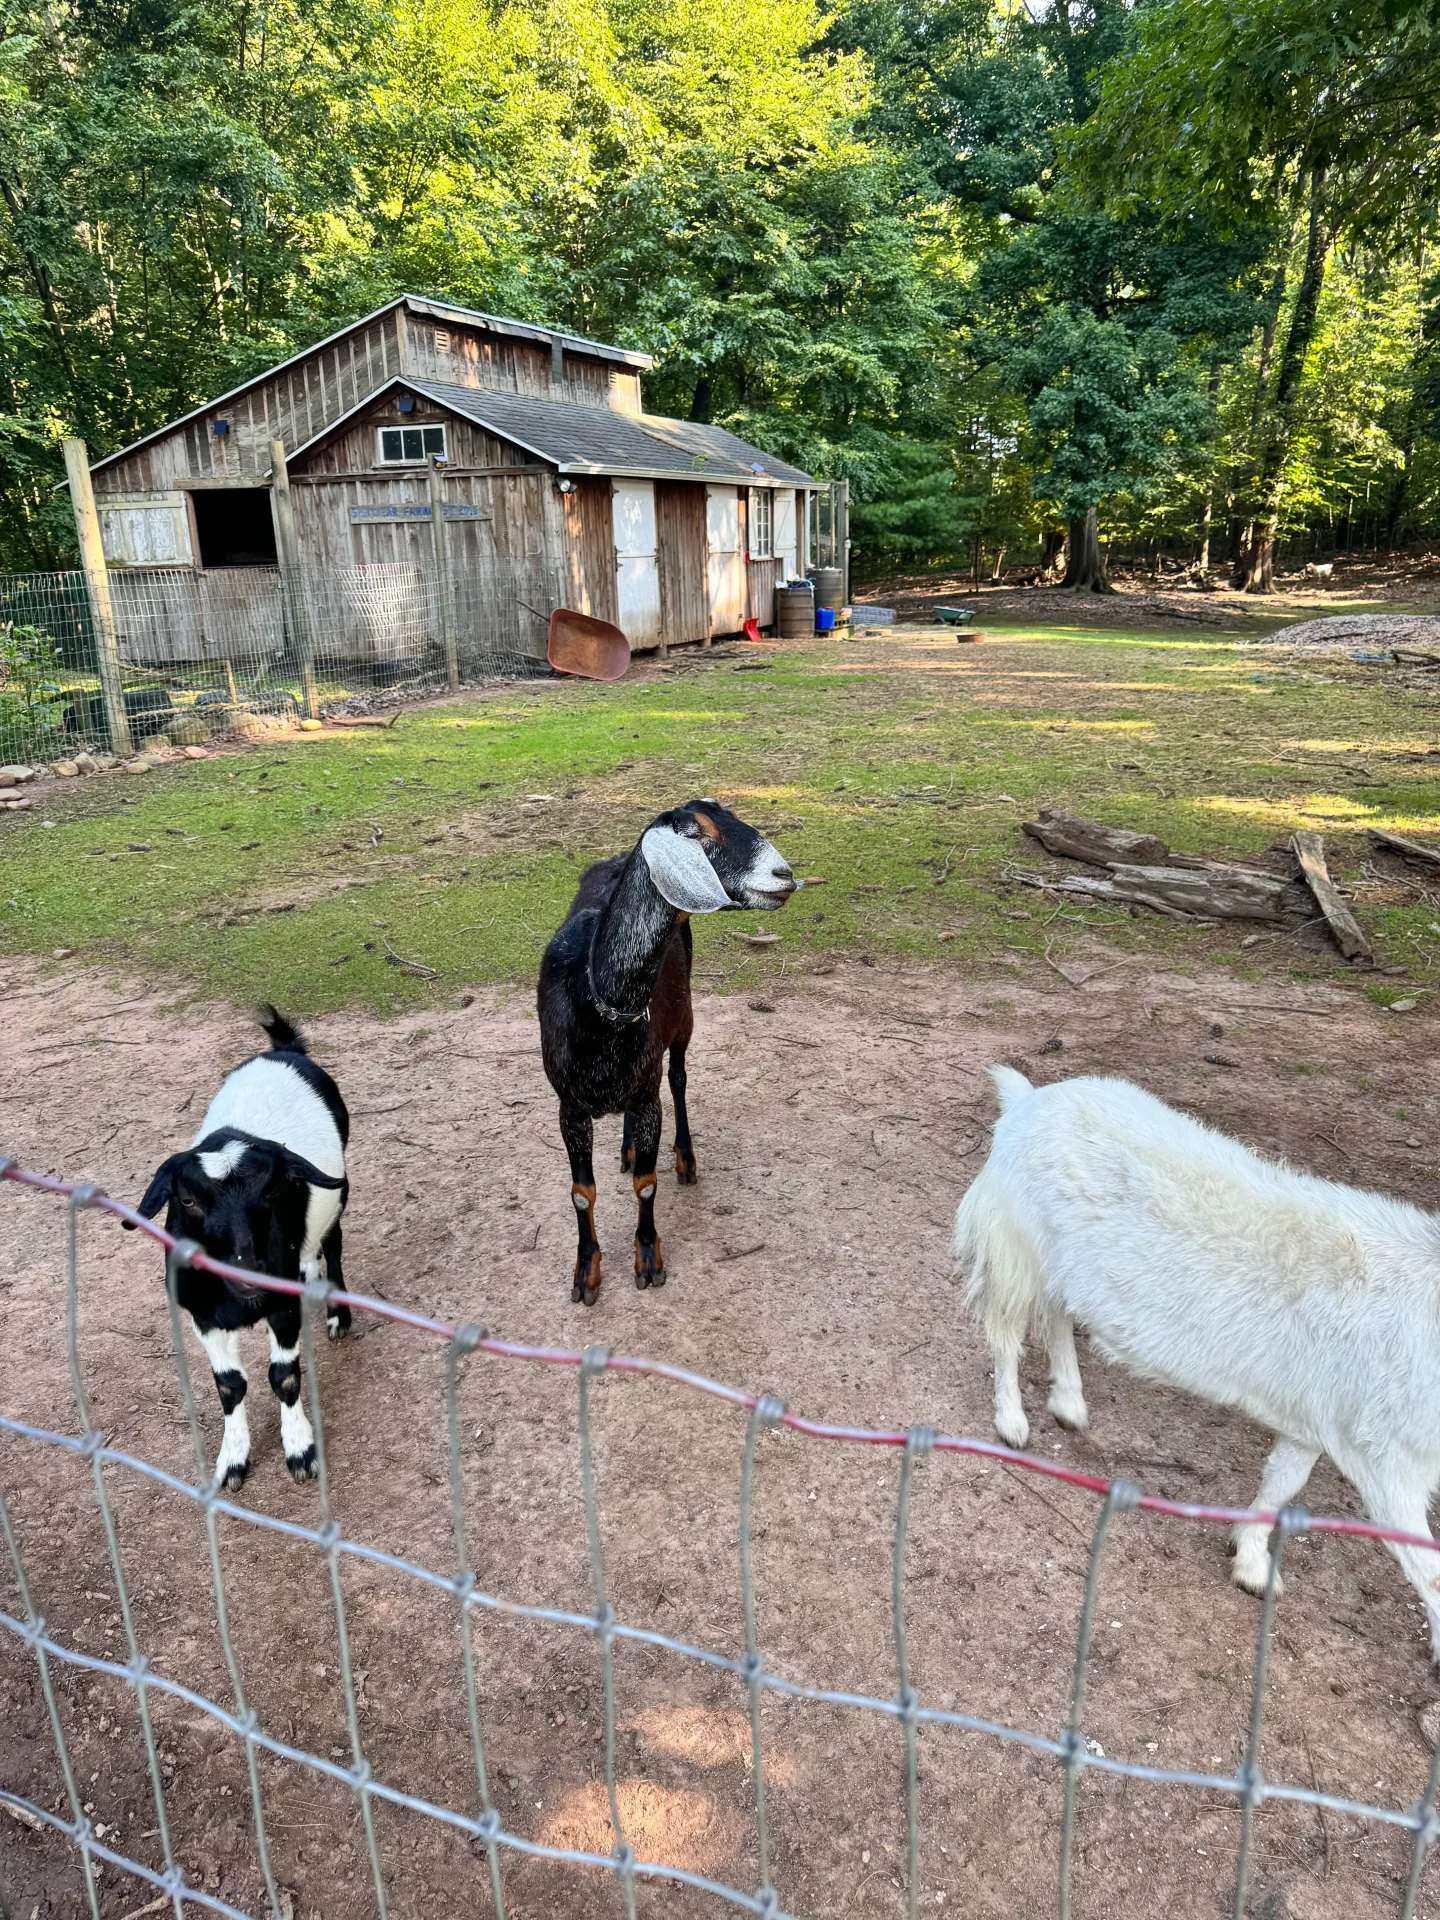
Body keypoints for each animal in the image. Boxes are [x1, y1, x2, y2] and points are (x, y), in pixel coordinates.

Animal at [537, 794, 794, 1305]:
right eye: (697, 835)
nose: (785, 875)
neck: (600, 1004)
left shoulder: (647, 1094)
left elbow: (647, 1184)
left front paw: (648, 1258)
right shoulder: (569, 1107)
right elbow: (580, 1192)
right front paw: (586, 1272)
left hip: (683, 1019)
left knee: (677, 1079)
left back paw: (684, 1157)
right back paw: (628, 1146)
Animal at [960, 1075, 1440, 1658]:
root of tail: (1026, 1097)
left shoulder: (1318, 1421)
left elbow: (1282, 1484)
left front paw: (1251, 1563)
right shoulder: (1388, 1458)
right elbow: (1429, 1569)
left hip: (1057, 1263)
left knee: (1056, 1314)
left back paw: (1069, 1403)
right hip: (1016, 1244)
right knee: (1007, 1333)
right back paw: (1013, 1421)